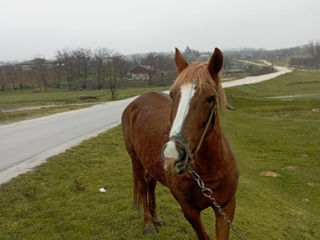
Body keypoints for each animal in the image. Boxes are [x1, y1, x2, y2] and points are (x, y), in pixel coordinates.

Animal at [121, 47, 239, 239]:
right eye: (172, 95)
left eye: (211, 98)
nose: (173, 155)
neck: (208, 171)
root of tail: (134, 103)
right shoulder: (190, 211)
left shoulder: (226, 208)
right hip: (135, 159)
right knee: (142, 186)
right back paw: (149, 223)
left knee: (150, 183)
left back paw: (156, 216)